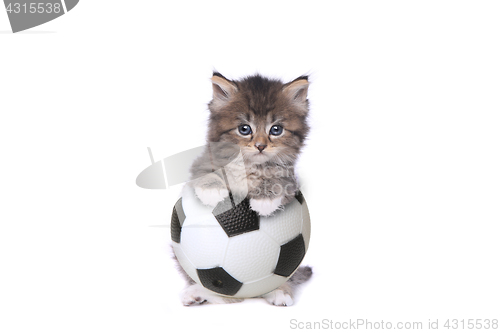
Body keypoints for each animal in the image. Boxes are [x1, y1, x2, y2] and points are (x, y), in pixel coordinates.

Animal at [176, 72, 310, 306]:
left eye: (276, 130)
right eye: (244, 129)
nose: (260, 146)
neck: (248, 166)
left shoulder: (290, 178)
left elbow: (279, 180)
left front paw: (264, 200)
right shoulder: (203, 161)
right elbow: (205, 171)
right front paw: (211, 190)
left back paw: (280, 291)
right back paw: (195, 293)